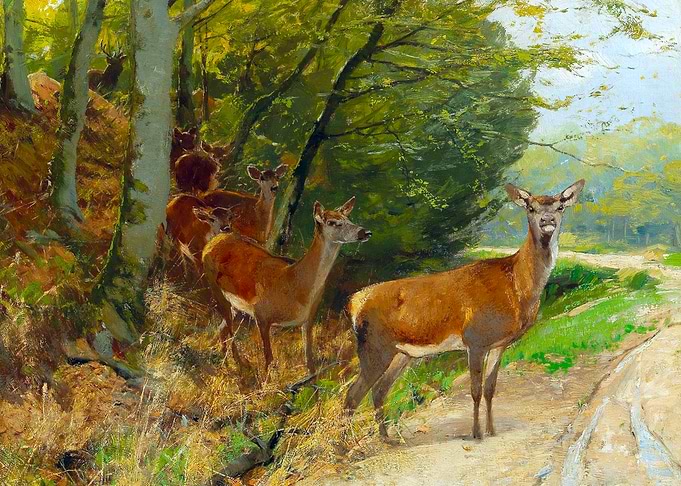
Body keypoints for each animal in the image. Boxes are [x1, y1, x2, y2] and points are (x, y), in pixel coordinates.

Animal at [202, 197, 372, 374]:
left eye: (349, 219)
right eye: (332, 222)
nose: (365, 232)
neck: (295, 284)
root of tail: (214, 240)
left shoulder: (309, 319)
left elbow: (310, 362)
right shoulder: (261, 315)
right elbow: (269, 359)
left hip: (235, 304)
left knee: (222, 328)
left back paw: (228, 362)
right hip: (214, 286)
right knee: (229, 331)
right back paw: (237, 365)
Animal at [344, 180, 585, 440]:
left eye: (560, 206)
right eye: (530, 208)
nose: (547, 220)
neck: (517, 288)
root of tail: (354, 301)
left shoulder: (499, 343)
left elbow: (490, 389)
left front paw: (492, 430)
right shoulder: (475, 338)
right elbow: (475, 390)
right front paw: (477, 433)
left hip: (402, 353)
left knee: (378, 391)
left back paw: (388, 439)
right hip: (374, 346)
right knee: (352, 395)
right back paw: (346, 445)